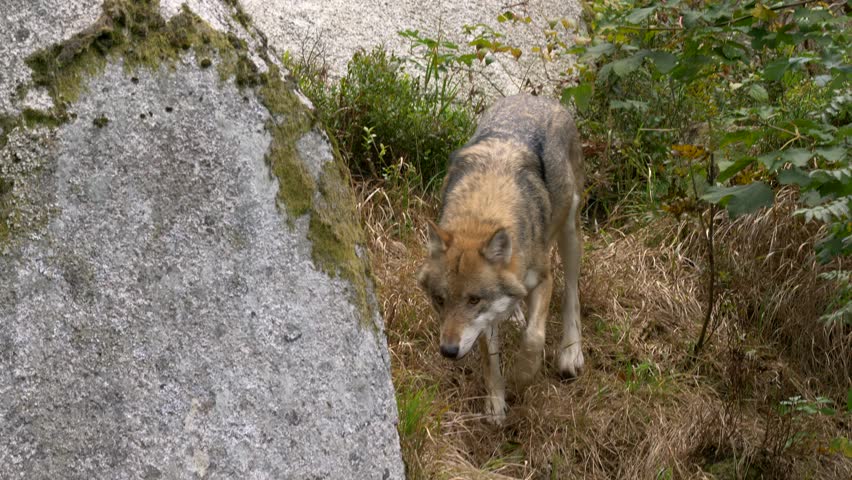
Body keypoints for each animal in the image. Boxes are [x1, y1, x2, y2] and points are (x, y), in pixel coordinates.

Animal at [417, 93, 584, 423]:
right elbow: (489, 357)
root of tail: (537, 98)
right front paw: (495, 403)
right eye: (439, 300)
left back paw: (571, 352)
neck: (483, 212)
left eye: (473, 300)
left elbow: (533, 337)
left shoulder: (543, 279)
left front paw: (521, 376)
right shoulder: (484, 319)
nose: (448, 351)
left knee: (571, 294)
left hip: (569, 232)